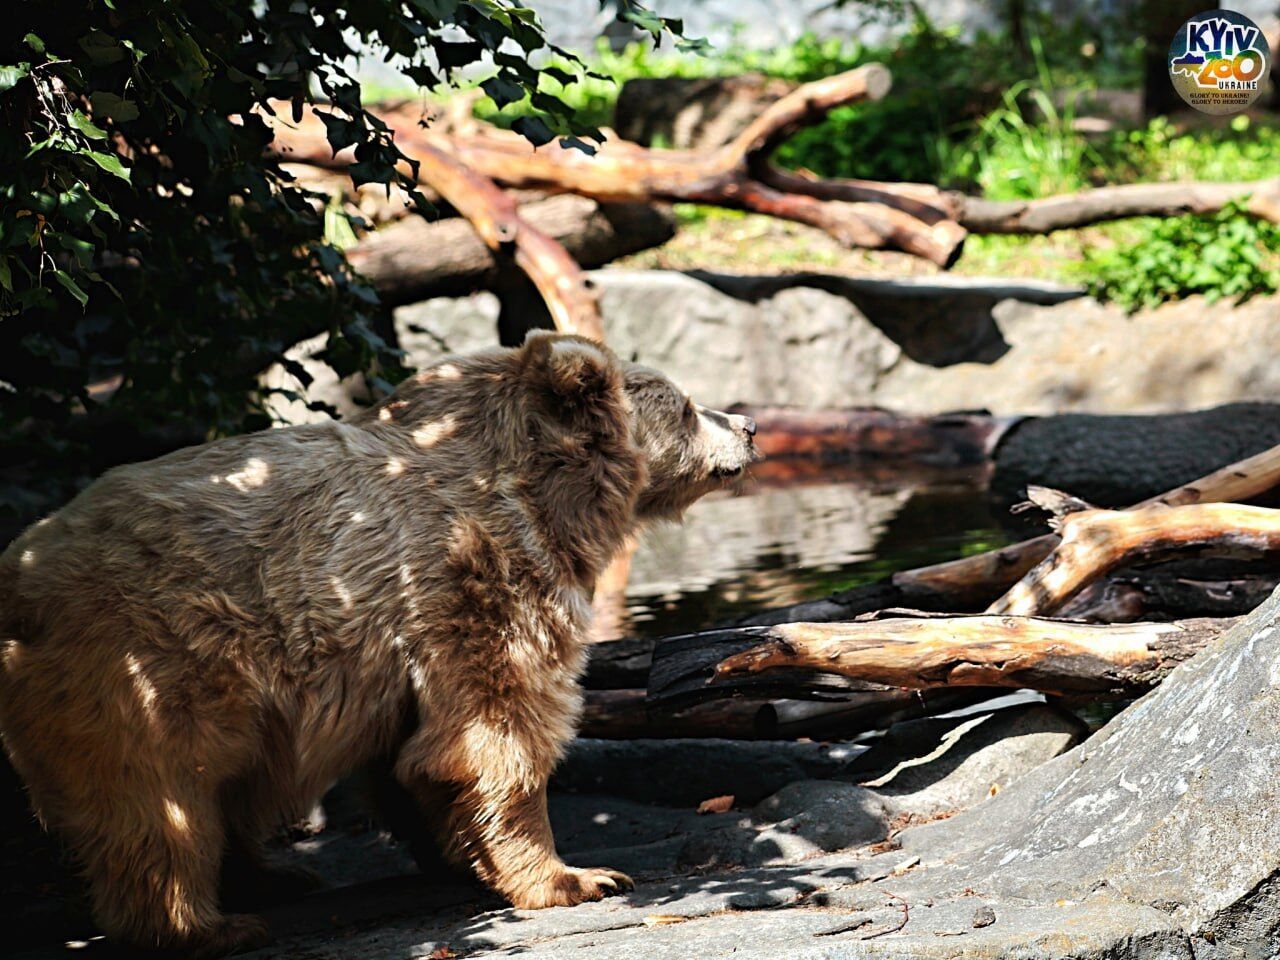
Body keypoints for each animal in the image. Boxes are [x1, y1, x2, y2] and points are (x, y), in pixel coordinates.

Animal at [0, 335, 757, 957]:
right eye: (687, 407)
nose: (749, 426)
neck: (546, 500)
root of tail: (18, 578)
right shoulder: (478, 582)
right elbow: (499, 733)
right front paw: (575, 876)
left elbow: (418, 756)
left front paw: (454, 851)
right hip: (145, 667)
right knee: (160, 802)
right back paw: (206, 925)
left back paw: (273, 875)